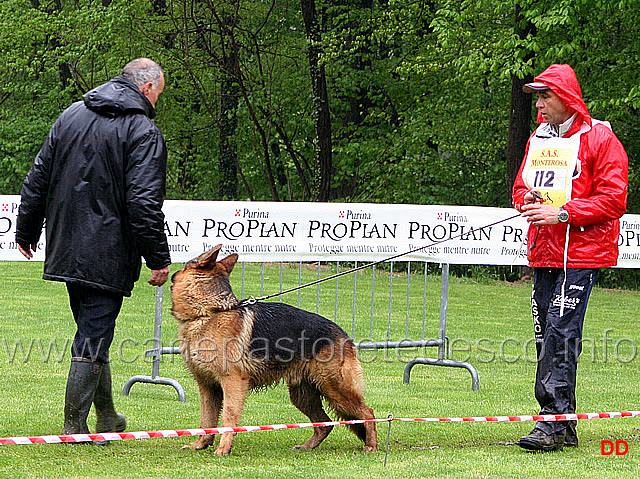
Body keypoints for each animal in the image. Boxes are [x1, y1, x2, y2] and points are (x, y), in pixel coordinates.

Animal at [172, 248, 378, 458]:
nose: (171, 273)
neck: (209, 313)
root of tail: (344, 336)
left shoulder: (232, 383)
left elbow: (228, 417)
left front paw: (224, 448)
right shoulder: (207, 386)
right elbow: (206, 420)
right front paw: (200, 444)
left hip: (336, 390)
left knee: (367, 412)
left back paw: (371, 445)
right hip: (303, 396)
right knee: (325, 424)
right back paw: (307, 447)